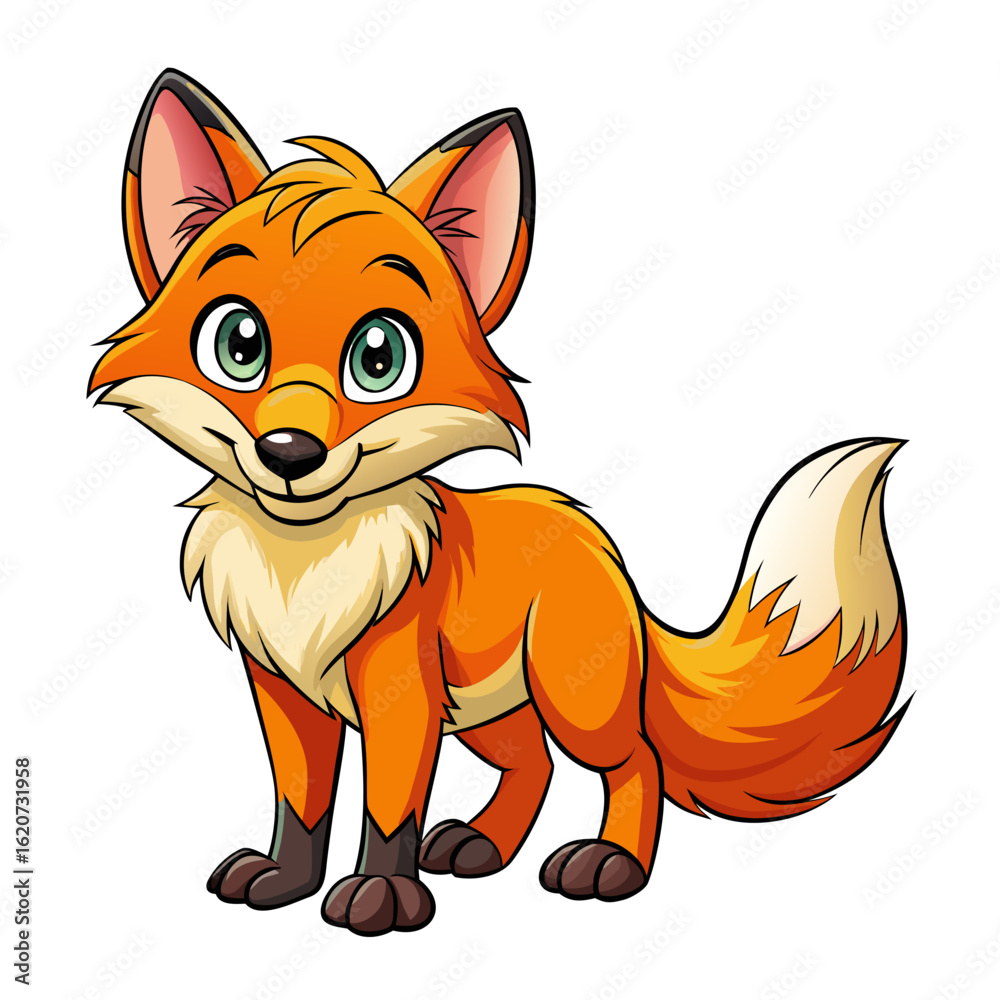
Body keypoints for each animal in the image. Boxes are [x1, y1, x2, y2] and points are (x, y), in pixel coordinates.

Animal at [89, 68, 910, 936]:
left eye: (378, 358)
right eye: (238, 346)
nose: (288, 454)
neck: (306, 570)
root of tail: (597, 539)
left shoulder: (401, 694)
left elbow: (388, 808)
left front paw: (383, 897)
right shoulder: (284, 690)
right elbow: (302, 801)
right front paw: (286, 878)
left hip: (572, 699)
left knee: (634, 761)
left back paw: (611, 864)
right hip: (487, 713)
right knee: (535, 765)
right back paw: (482, 845)